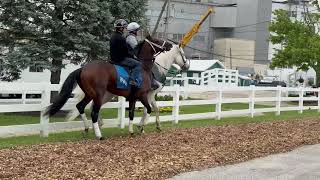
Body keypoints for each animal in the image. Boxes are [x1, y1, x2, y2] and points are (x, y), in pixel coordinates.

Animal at [44, 34, 185, 139]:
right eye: (157, 40)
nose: (169, 45)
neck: (145, 67)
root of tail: (82, 68)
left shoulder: (135, 97)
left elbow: (135, 113)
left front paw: (134, 130)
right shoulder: (144, 95)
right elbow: (149, 110)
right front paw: (141, 127)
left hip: (92, 95)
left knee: (82, 107)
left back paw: (88, 128)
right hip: (98, 95)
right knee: (94, 111)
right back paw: (99, 134)